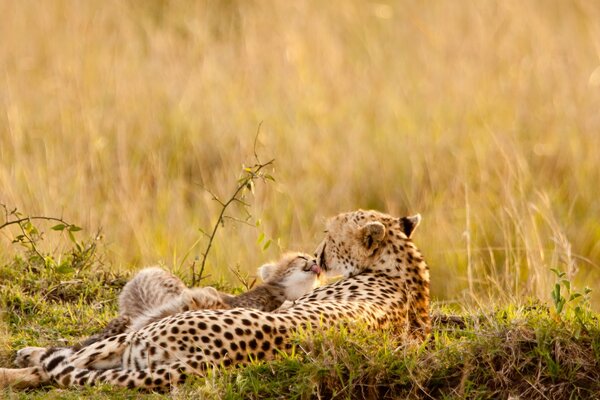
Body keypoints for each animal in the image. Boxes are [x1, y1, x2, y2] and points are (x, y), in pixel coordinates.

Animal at [1, 211, 432, 390]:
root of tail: (210, 359)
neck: (404, 265)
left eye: (330, 234)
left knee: (61, 365)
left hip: (137, 341)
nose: (317, 254)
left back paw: (20, 365)